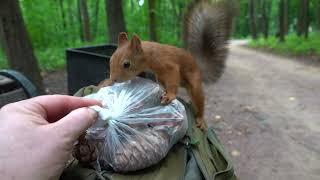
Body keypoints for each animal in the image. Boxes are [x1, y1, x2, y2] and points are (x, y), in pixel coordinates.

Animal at [97, 0, 232, 129]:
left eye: (126, 64)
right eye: (110, 60)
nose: (114, 79)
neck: (150, 54)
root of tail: (197, 66)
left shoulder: (169, 65)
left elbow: (172, 79)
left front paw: (170, 95)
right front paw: (106, 82)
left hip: (194, 83)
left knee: (198, 100)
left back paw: (200, 118)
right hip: (160, 78)